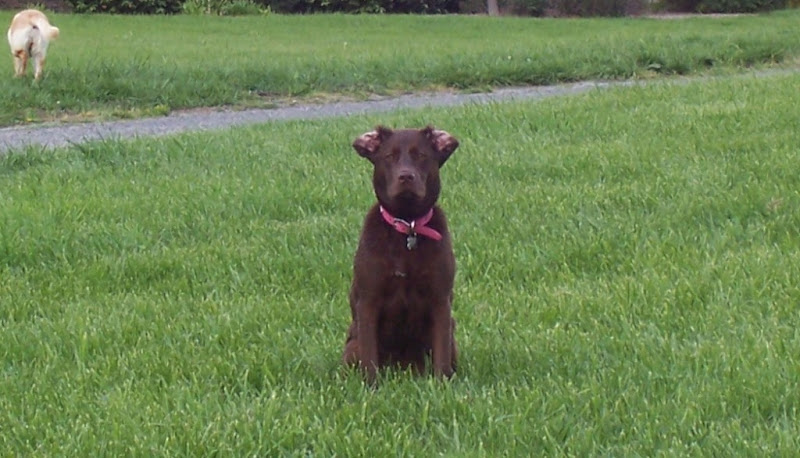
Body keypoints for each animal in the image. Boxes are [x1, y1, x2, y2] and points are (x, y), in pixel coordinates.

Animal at [340, 124, 460, 382]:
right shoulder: (368, 300)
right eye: (389, 156)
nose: (406, 176)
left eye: (421, 155)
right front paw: (371, 385)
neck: (408, 226)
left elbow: (441, 355)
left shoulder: (441, 299)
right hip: (351, 346)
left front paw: (442, 384)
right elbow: (369, 355)